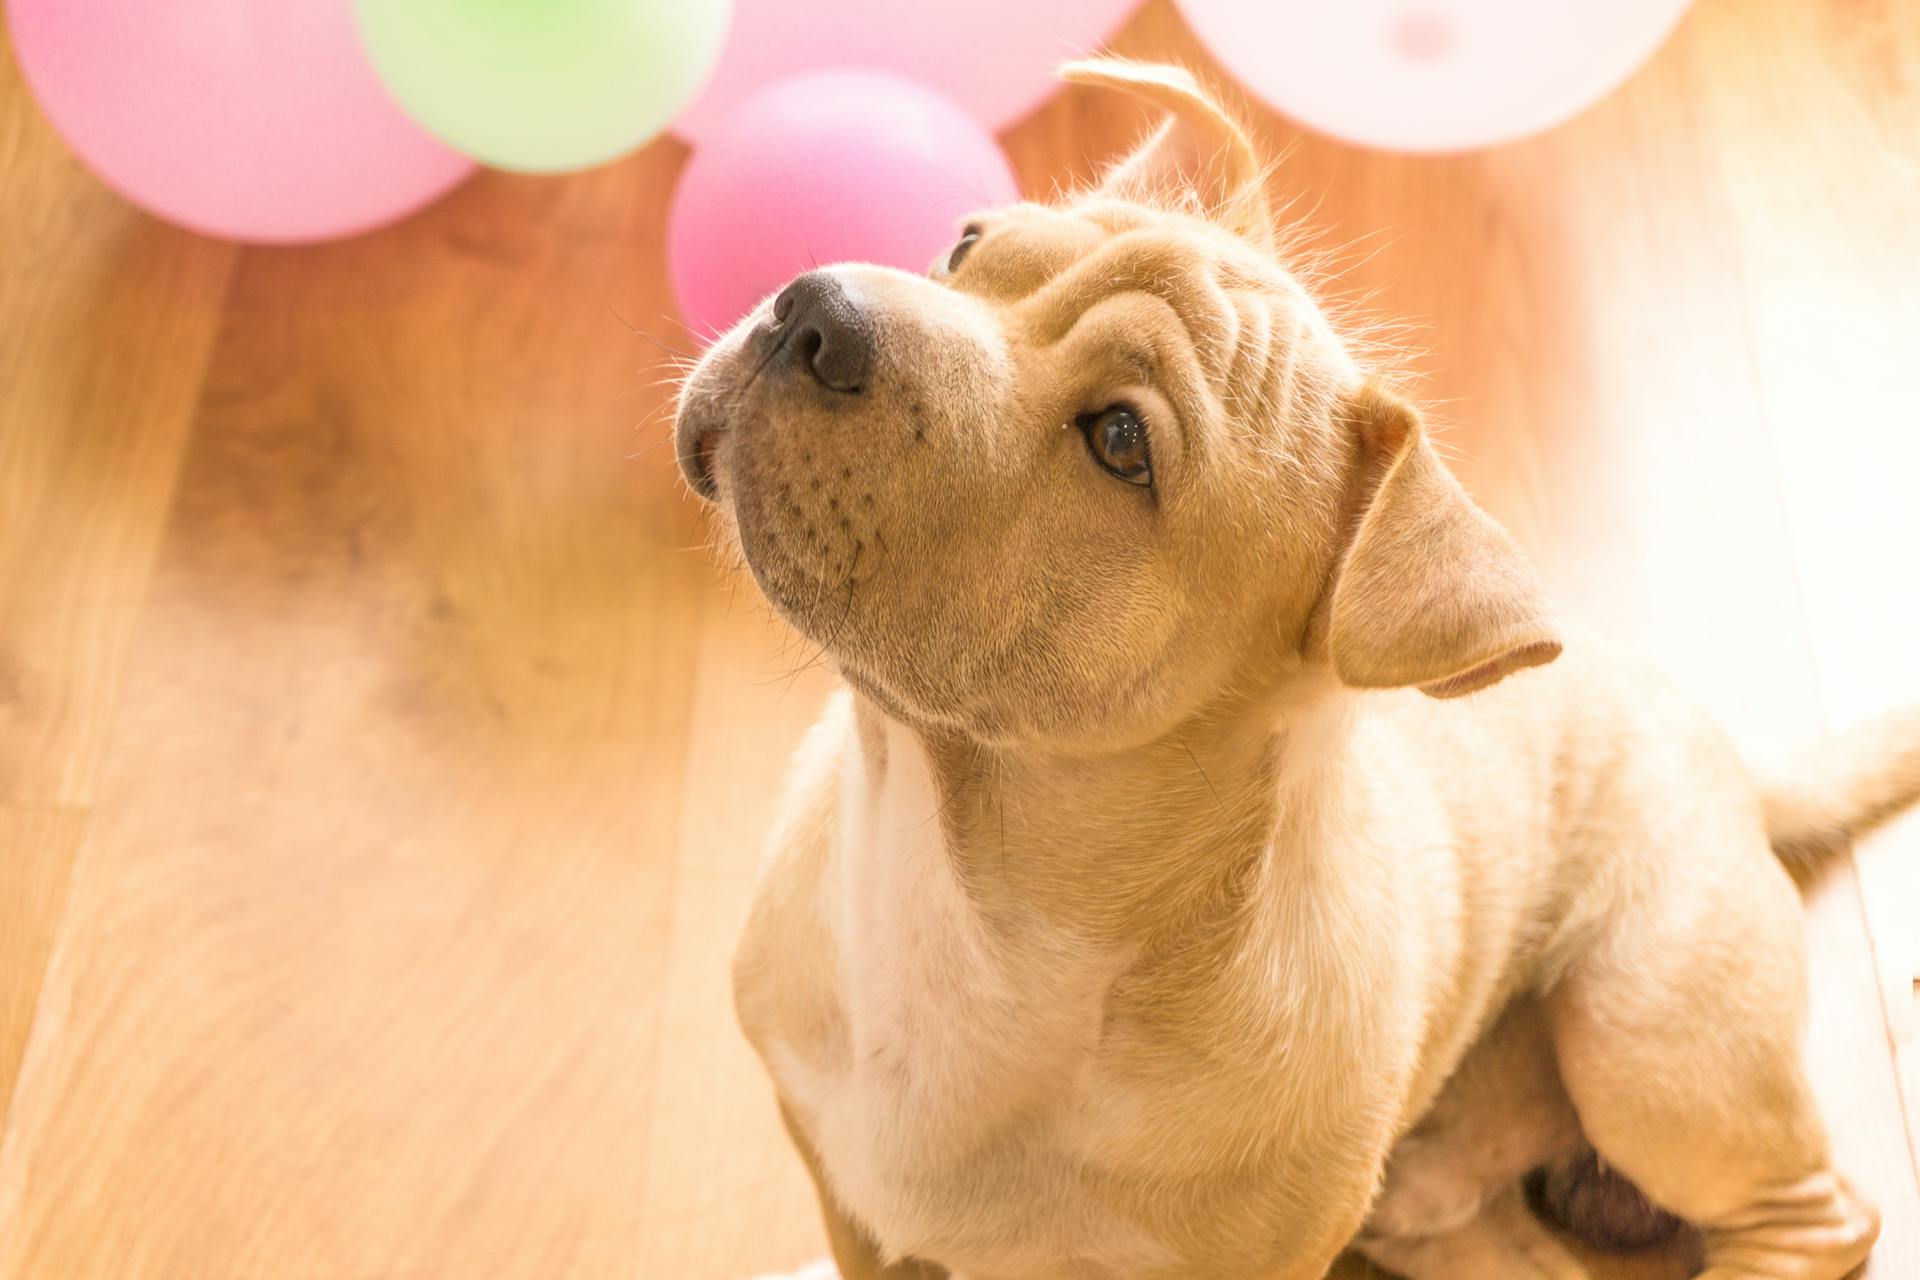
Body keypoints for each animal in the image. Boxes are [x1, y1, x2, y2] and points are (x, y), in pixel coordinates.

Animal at [675, 62, 1920, 1280]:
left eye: (1121, 441)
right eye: (967, 245)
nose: (814, 309)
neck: (961, 896)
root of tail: (1733, 759)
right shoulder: (846, 1193)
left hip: (1649, 1032)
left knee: (1819, 1212)